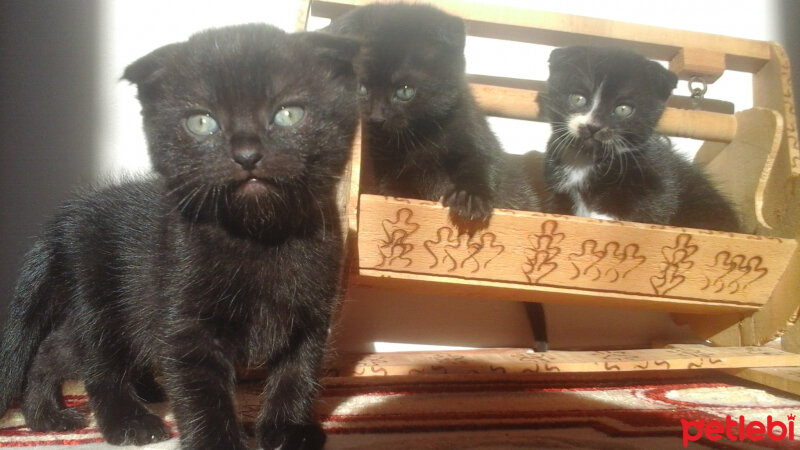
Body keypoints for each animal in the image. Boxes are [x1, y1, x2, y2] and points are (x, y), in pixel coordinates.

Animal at [0, 24, 360, 450]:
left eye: (288, 114)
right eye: (202, 123)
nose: (247, 153)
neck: (258, 237)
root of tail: (67, 217)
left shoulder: (311, 313)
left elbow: (298, 372)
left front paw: (288, 430)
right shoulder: (185, 320)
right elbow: (201, 391)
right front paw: (219, 442)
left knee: (57, 348)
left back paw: (56, 414)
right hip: (101, 303)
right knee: (92, 363)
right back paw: (124, 422)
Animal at [324, 3, 552, 354]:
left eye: (405, 91)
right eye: (361, 88)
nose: (375, 118)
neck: (418, 138)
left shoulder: (473, 135)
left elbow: (481, 163)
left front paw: (470, 200)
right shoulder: (389, 168)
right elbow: (397, 188)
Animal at [540, 45, 740, 232]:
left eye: (623, 109)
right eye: (578, 99)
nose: (593, 127)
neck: (587, 159)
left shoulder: (658, 178)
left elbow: (654, 206)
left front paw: (603, 218)